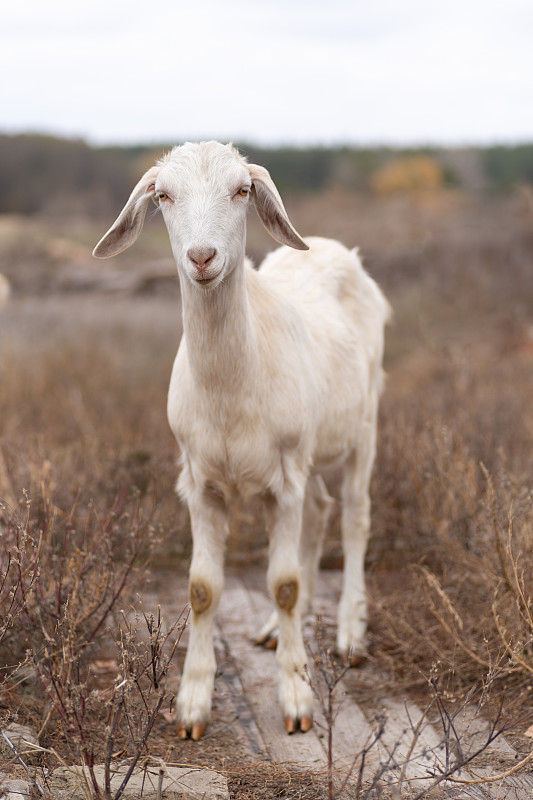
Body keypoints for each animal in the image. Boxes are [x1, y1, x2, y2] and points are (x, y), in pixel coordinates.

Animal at [93, 141, 388, 740]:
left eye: (242, 190)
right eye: (163, 195)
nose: (203, 256)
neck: (232, 388)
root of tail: (331, 248)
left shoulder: (284, 479)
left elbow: (285, 583)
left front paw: (297, 703)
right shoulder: (200, 480)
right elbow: (203, 588)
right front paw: (191, 707)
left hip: (362, 424)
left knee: (353, 515)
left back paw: (349, 634)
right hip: (308, 451)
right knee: (321, 510)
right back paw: (276, 630)